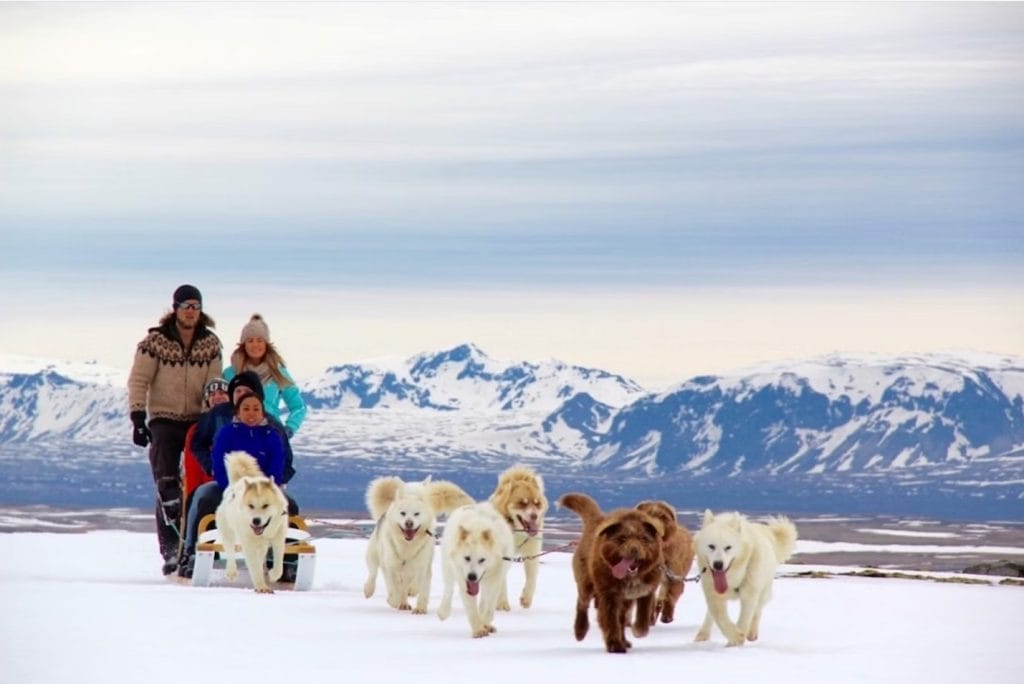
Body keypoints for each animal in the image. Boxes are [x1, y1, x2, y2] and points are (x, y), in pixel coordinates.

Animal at [214, 448, 288, 593]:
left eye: (265, 506)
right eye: (251, 506)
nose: (256, 521)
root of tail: (240, 480)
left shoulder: (278, 538)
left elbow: (279, 562)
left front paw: (273, 575)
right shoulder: (248, 543)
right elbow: (254, 567)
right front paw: (261, 586)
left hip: (262, 545)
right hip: (228, 532)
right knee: (230, 550)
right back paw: (231, 572)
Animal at [362, 475, 473, 614]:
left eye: (417, 514)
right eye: (403, 513)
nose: (409, 523)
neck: (407, 546)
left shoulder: (423, 566)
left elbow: (423, 589)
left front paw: (420, 608)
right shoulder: (390, 566)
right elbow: (393, 587)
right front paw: (394, 600)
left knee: (407, 585)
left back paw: (406, 599)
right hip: (373, 555)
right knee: (373, 573)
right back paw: (370, 590)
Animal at [436, 499, 512, 638]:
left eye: (482, 560)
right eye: (467, 558)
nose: (472, 577)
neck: (478, 528)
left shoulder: (494, 581)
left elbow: (489, 608)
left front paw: (485, 624)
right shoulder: (464, 583)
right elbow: (472, 610)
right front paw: (478, 630)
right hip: (448, 568)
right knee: (448, 590)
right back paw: (443, 612)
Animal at [561, 491, 663, 651]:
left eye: (643, 538)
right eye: (622, 538)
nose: (634, 549)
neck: (630, 577)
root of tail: (596, 520)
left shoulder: (646, 591)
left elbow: (643, 618)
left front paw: (637, 631)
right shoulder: (609, 595)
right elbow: (610, 620)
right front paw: (615, 645)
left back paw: (625, 641)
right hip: (585, 583)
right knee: (582, 603)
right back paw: (580, 630)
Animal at [692, 507, 794, 647]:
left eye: (728, 547)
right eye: (711, 546)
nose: (718, 564)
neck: (732, 577)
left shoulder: (749, 594)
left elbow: (744, 619)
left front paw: (736, 641)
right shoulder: (712, 593)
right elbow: (720, 617)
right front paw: (735, 637)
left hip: (763, 590)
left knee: (757, 611)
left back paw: (752, 633)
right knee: (710, 615)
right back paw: (702, 634)